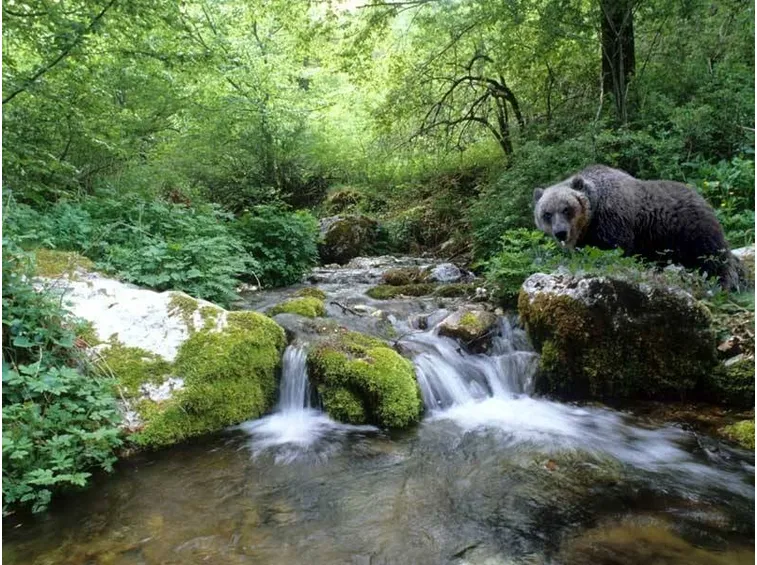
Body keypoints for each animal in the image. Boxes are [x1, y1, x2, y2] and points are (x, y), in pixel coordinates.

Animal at [532, 164, 743, 290]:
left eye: (566, 208)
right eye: (547, 213)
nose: (561, 232)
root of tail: (703, 199)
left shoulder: (614, 221)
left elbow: (615, 249)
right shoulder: (587, 236)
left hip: (691, 231)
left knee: (713, 260)